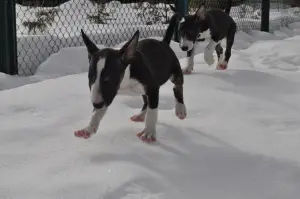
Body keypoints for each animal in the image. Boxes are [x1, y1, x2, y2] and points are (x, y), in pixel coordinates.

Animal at [74, 12, 186, 143]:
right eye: (91, 77)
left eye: (108, 78)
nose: (96, 104)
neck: (125, 80)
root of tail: (163, 43)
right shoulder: (107, 95)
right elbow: (97, 112)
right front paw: (88, 128)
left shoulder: (152, 87)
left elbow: (152, 111)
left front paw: (148, 132)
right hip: (143, 92)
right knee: (146, 101)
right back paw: (141, 115)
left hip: (174, 72)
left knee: (177, 87)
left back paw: (180, 109)